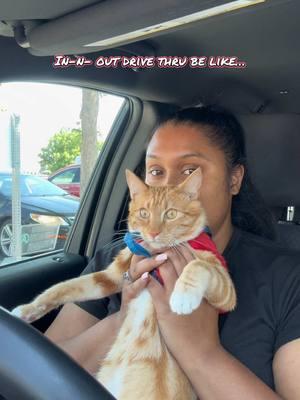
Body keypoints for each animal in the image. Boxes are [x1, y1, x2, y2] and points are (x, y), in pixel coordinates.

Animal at [11, 167, 237, 398]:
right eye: (144, 213)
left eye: (171, 214)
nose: (153, 233)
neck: (155, 253)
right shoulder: (111, 276)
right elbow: (64, 287)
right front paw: (28, 309)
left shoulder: (225, 289)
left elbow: (198, 266)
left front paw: (183, 297)